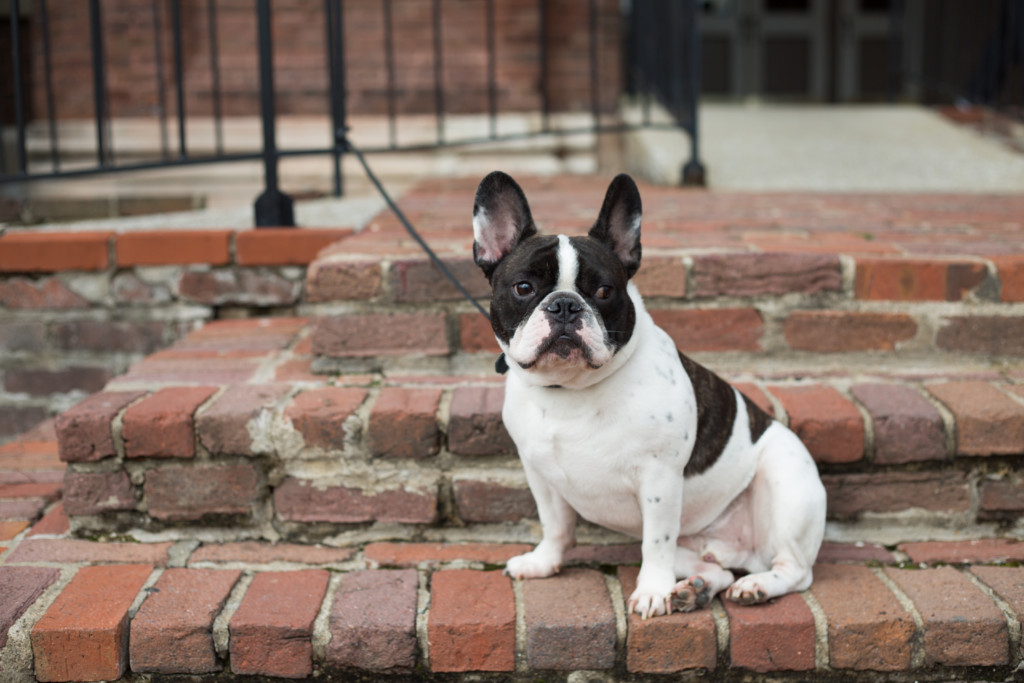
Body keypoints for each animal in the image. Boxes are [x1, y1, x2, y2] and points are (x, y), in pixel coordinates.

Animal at [475, 172, 827, 618]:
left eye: (604, 291)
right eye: (523, 287)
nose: (565, 305)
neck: (570, 389)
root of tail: (733, 550)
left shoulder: (660, 480)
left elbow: (655, 543)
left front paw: (653, 592)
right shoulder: (540, 474)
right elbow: (555, 525)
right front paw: (544, 562)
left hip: (784, 489)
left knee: (795, 570)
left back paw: (755, 586)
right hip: (695, 545)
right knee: (716, 570)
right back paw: (695, 588)